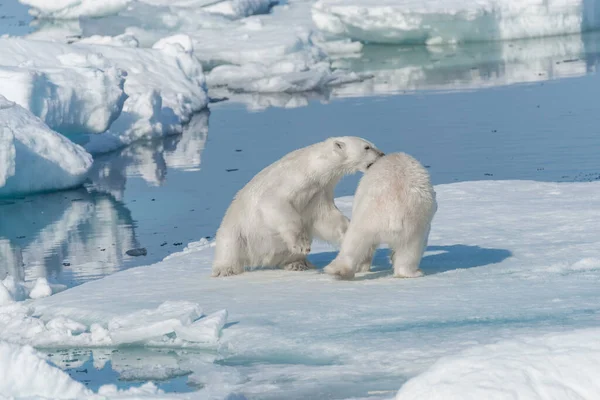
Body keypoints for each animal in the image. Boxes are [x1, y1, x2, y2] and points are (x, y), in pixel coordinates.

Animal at [211, 136, 384, 276]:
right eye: (367, 147)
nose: (382, 155)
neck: (312, 168)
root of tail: (262, 258)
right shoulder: (291, 181)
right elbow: (274, 203)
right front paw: (302, 244)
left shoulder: (318, 193)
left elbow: (328, 219)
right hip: (238, 230)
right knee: (229, 245)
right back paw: (225, 270)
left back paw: (298, 264)